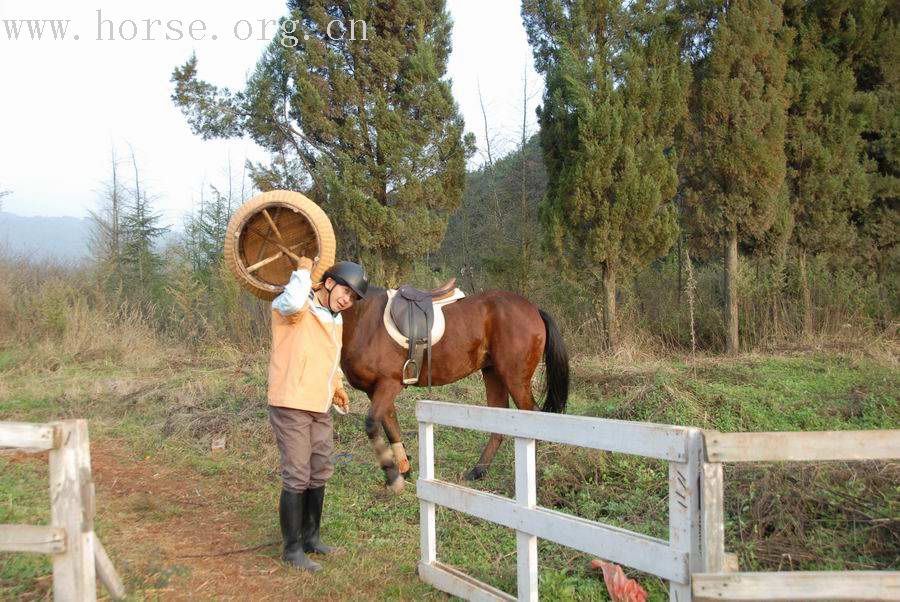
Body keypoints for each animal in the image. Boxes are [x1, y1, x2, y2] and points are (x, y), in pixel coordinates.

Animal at [338, 284, 568, 488]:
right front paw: (404, 470)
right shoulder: (376, 390)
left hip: (515, 378)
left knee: (532, 417)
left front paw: (393, 476)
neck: (364, 318)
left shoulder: (388, 385)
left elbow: (372, 425)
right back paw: (478, 470)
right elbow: (391, 428)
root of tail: (534, 309)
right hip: (493, 373)